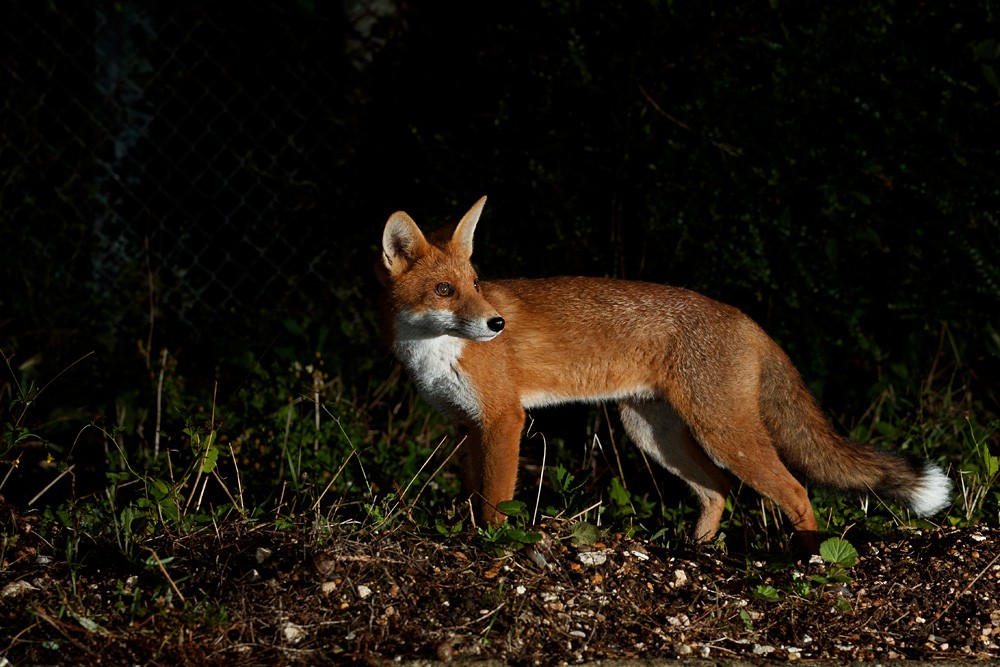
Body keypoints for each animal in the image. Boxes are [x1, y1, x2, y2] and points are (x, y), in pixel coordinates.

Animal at [376, 196, 952, 551]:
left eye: (475, 283)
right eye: (445, 290)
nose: (496, 324)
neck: (435, 353)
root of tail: (744, 318)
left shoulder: (504, 420)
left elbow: (495, 503)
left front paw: (494, 547)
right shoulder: (467, 426)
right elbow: (473, 494)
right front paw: (469, 536)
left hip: (722, 431)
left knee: (795, 492)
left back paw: (808, 564)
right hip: (653, 433)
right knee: (718, 489)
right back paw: (698, 552)